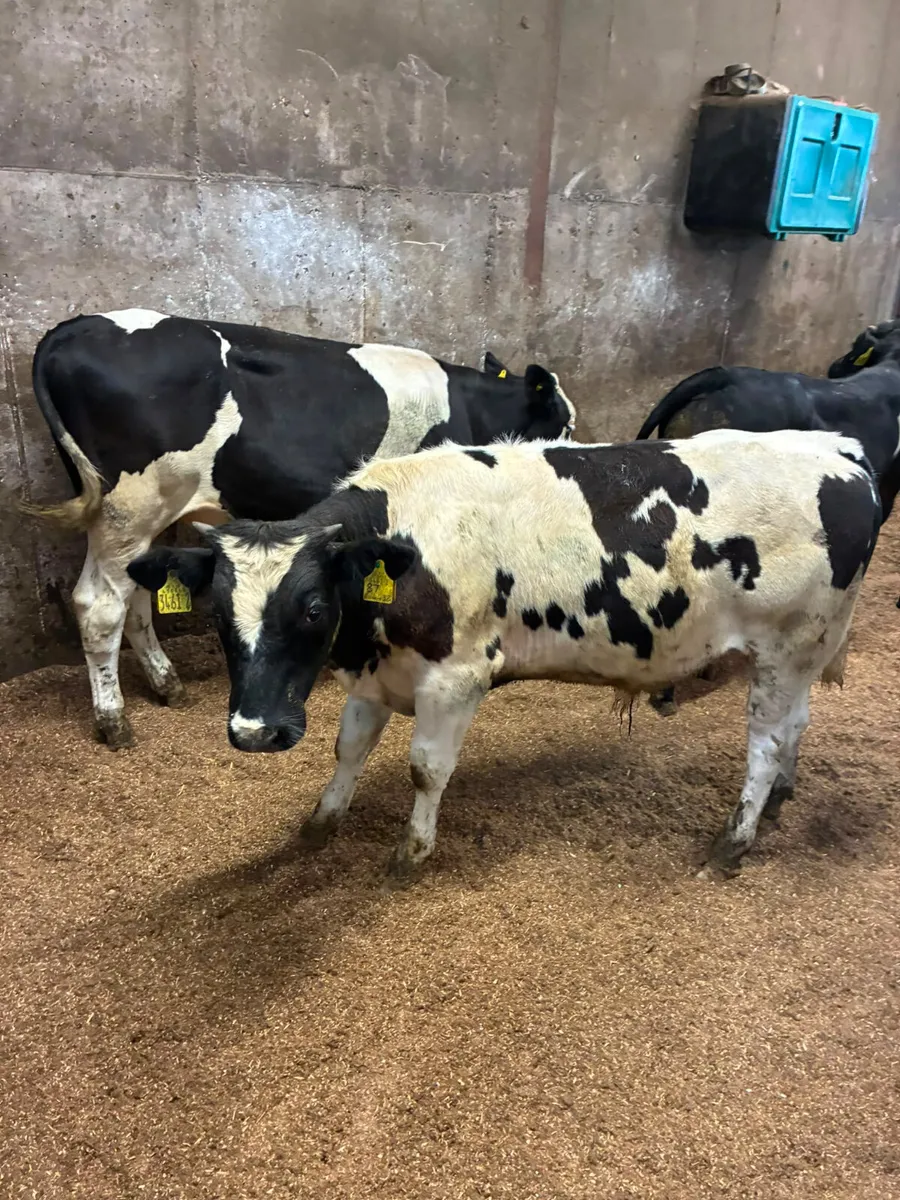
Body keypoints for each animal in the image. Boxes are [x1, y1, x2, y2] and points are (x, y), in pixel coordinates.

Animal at [24, 309, 576, 749]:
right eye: (563, 422)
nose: (571, 448)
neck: (471, 409)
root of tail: (76, 326)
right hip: (127, 508)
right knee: (99, 606)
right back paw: (113, 720)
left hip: (140, 520)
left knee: (139, 595)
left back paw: (167, 685)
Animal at [127, 429, 881, 883]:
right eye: (217, 614)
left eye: (312, 609)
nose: (255, 732)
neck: (406, 547)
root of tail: (838, 449)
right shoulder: (375, 675)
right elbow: (349, 749)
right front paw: (321, 823)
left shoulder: (455, 680)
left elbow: (426, 769)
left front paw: (411, 851)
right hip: (807, 652)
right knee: (797, 726)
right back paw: (780, 798)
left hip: (789, 645)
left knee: (767, 741)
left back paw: (734, 840)